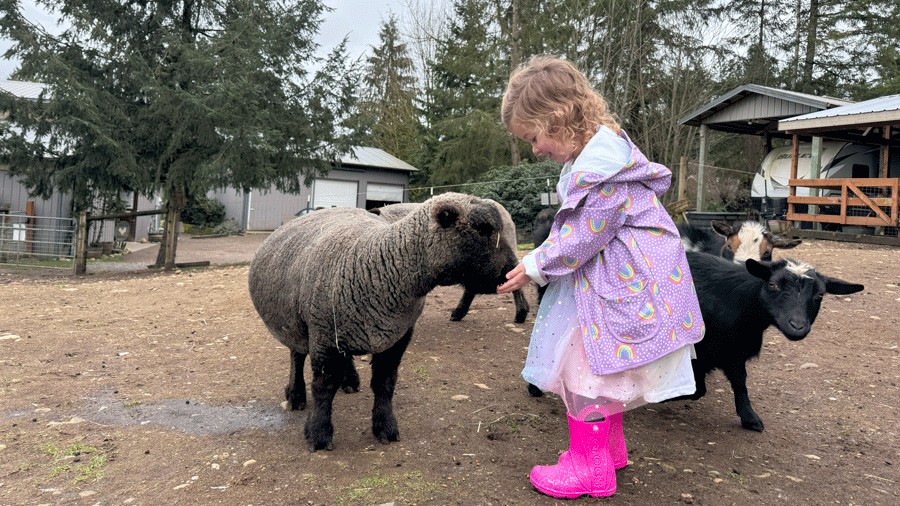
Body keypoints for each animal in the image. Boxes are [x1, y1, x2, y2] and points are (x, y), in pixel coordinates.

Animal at [671, 251, 864, 431]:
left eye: (820, 294)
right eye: (773, 285)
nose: (797, 326)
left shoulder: (735, 351)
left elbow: (738, 382)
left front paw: (750, 418)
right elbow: (695, 387)